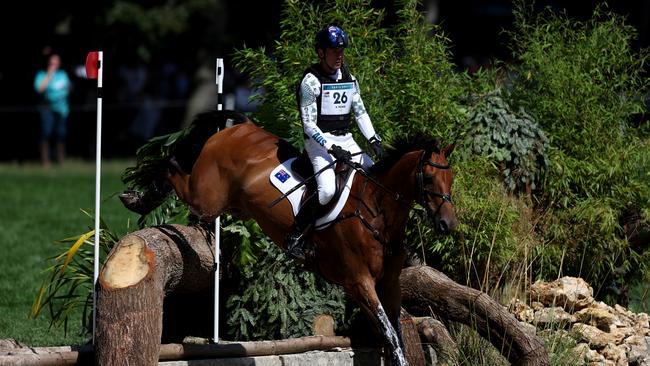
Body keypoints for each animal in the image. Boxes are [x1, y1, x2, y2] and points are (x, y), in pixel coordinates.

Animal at [120, 109, 456, 366]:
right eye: (428, 178)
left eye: (451, 178)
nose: (447, 224)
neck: (377, 212)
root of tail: (241, 126)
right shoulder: (359, 282)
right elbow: (390, 333)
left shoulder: (389, 284)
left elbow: (394, 331)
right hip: (207, 196)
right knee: (172, 168)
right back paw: (140, 199)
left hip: (235, 205)